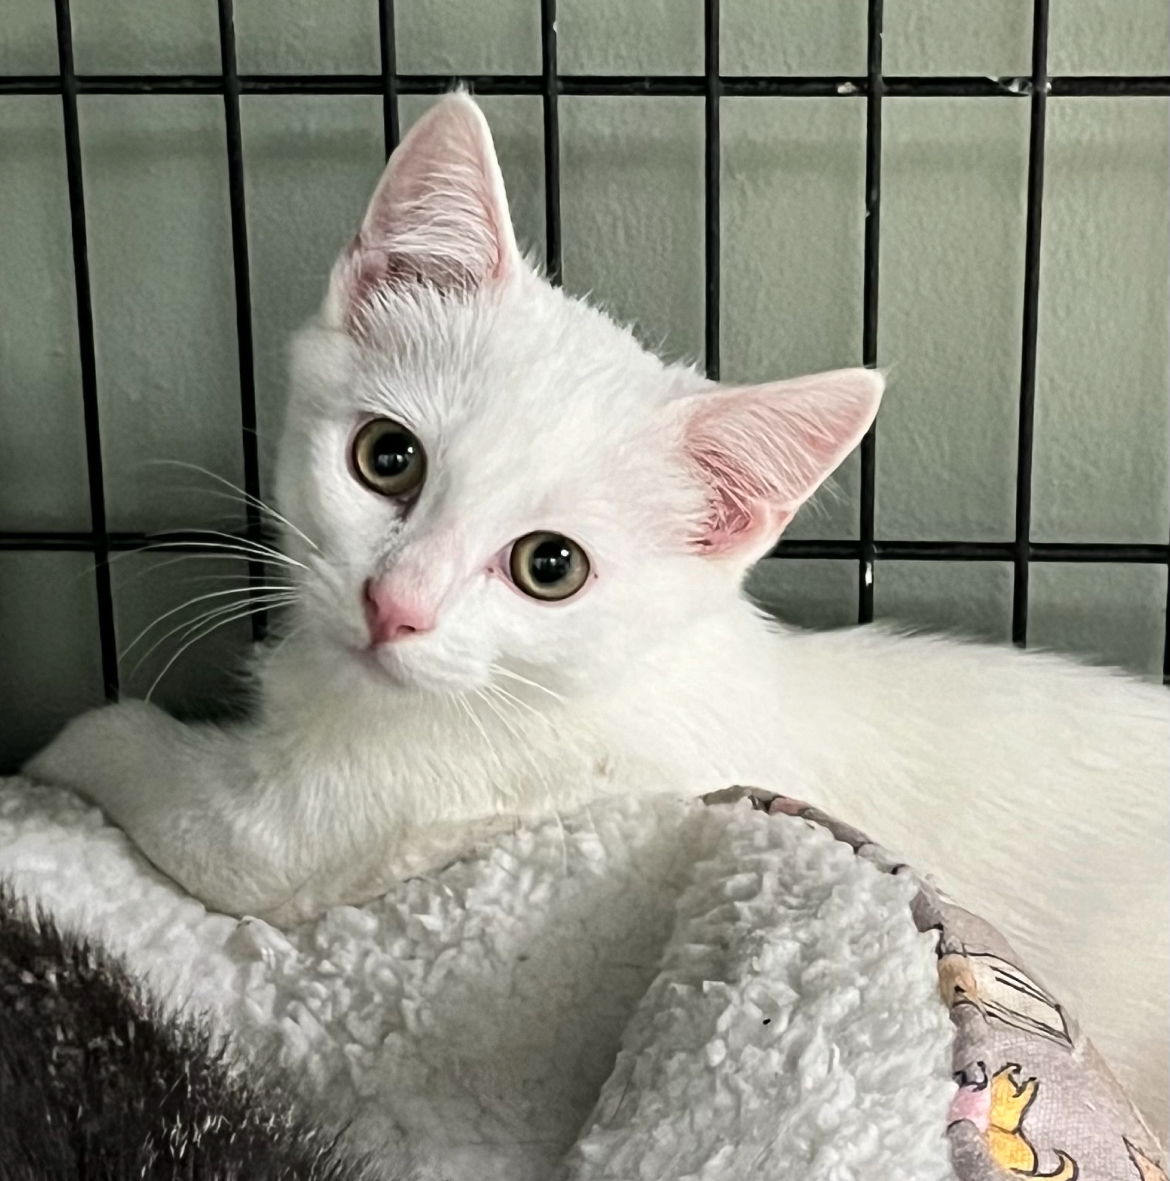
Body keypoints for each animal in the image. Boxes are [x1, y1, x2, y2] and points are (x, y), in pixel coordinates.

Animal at [22, 94, 1166, 1133]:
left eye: (551, 566)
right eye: (386, 457)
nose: (394, 606)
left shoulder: (361, 821)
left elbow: (206, 825)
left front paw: (67, 751)